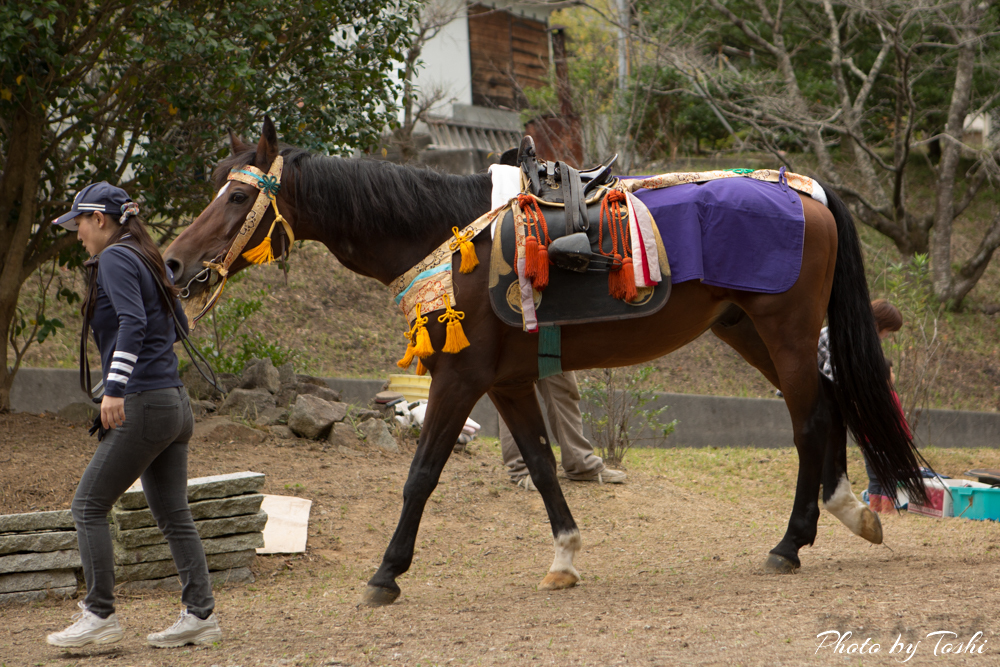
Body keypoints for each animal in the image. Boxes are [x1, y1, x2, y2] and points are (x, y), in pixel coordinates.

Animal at [164, 117, 920, 608]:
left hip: (785, 330)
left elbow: (422, 474)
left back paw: (795, 539)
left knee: (810, 418)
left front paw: (386, 572)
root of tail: (805, 188)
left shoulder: (461, 379)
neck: (451, 237)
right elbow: (541, 463)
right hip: (748, 330)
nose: (173, 262)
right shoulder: (506, 382)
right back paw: (839, 515)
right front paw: (565, 555)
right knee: (825, 404)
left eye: (238, 195)